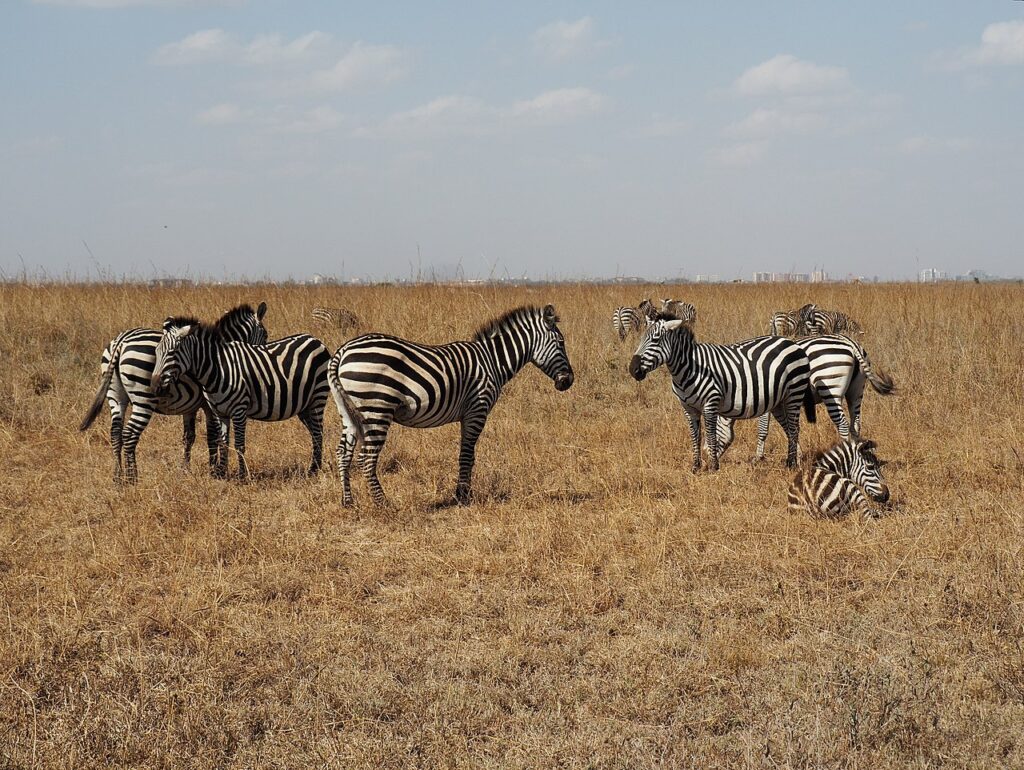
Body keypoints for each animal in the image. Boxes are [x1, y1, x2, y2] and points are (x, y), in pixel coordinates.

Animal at [79, 302, 268, 483]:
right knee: (130, 434)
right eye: (265, 335)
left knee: (116, 433)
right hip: (143, 399)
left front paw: (186, 470)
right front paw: (215, 471)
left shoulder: (190, 407)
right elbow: (213, 437)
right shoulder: (210, 405)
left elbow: (188, 437)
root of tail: (122, 340)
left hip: (115, 396)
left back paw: (118, 477)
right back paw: (132, 478)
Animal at [150, 318, 332, 479]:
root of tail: (315, 339)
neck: (218, 369)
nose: (154, 387)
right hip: (304, 405)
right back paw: (315, 467)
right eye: (156, 352)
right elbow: (223, 443)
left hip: (318, 397)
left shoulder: (239, 410)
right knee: (315, 433)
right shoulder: (219, 412)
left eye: (172, 353)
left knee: (318, 432)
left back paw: (313, 470)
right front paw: (221, 473)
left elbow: (239, 445)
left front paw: (242, 475)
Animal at [328, 304, 574, 507]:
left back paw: (347, 501)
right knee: (366, 458)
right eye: (561, 343)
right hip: (377, 407)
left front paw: (463, 493)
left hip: (349, 411)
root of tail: (342, 351)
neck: (493, 361)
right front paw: (462, 496)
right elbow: (467, 454)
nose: (568, 381)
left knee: (343, 453)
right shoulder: (477, 409)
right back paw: (383, 504)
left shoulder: (468, 414)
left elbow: (467, 455)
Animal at [628, 318, 814, 471]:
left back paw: (792, 464)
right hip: (778, 401)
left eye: (655, 340)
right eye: (641, 338)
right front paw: (695, 467)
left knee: (794, 427)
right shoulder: (688, 407)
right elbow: (695, 436)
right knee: (788, 428)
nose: (633, 369)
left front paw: (713, 467)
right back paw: (791, 461)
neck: (689, 368)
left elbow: (711, 435)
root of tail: (791, 342)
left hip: (794, 392)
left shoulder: (711, 401)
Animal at [715, 334, 894, 458]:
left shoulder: (767, 399)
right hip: (856, 391)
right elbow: (789, 428)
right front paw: (798, 454)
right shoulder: (780, 402)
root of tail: (850, 342)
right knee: (855, 424)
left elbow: (764, 429)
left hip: (830, 386)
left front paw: (758, 457)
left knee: (842, 424)